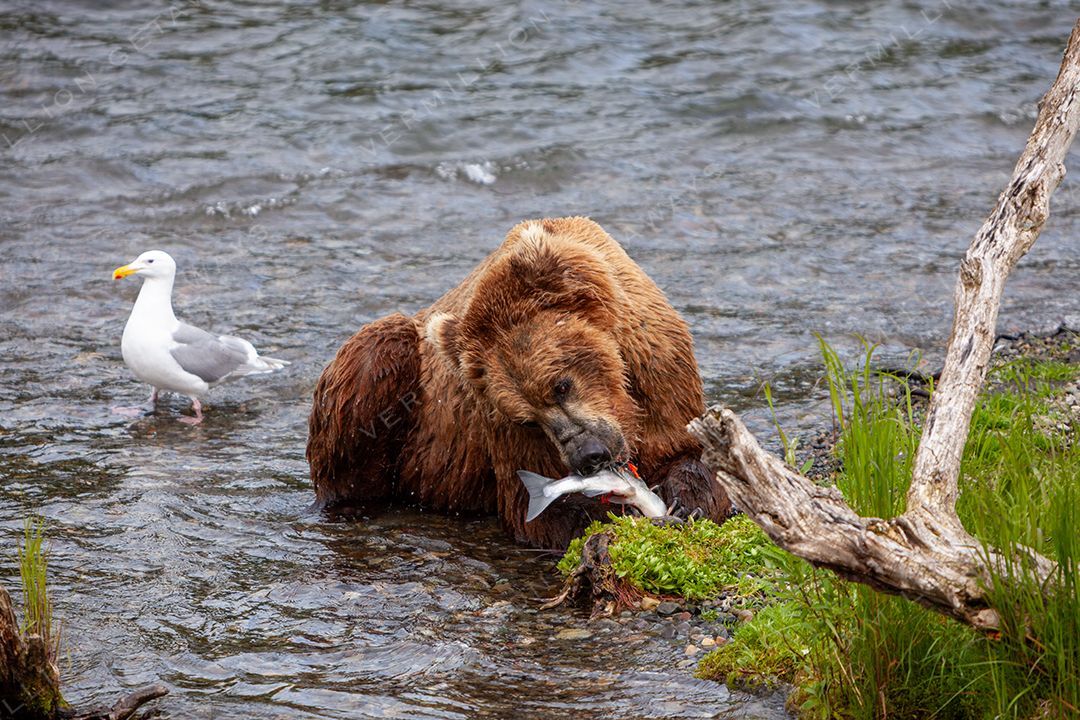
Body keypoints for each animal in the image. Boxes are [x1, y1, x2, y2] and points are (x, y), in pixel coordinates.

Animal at [307, 216, 731, 548]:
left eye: (561, 384)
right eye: (528, 419)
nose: (588, 456)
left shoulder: (658, 365)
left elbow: (687, 451)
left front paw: (686, 499)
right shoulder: (499, 428)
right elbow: (534, 512)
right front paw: (622, 515)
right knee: (376, 353)